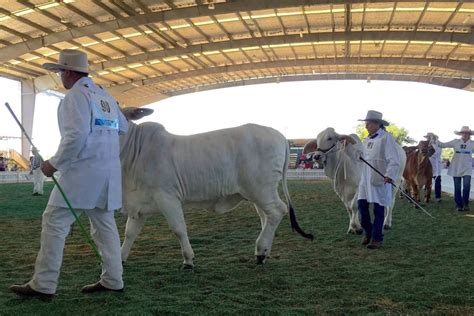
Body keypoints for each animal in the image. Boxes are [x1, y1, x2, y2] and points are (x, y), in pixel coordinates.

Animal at [118, 107, 312, 268]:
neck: (135, 152)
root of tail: (279, 135)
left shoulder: (167, 197)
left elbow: (179, 229)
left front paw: (188, 260)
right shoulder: (139, 205)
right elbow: (129, 233)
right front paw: (120, 259)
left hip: (262, 189)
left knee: (278, 211)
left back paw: (261, 251)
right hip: (258, 193)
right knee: (266, 217)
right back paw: (264, 252)